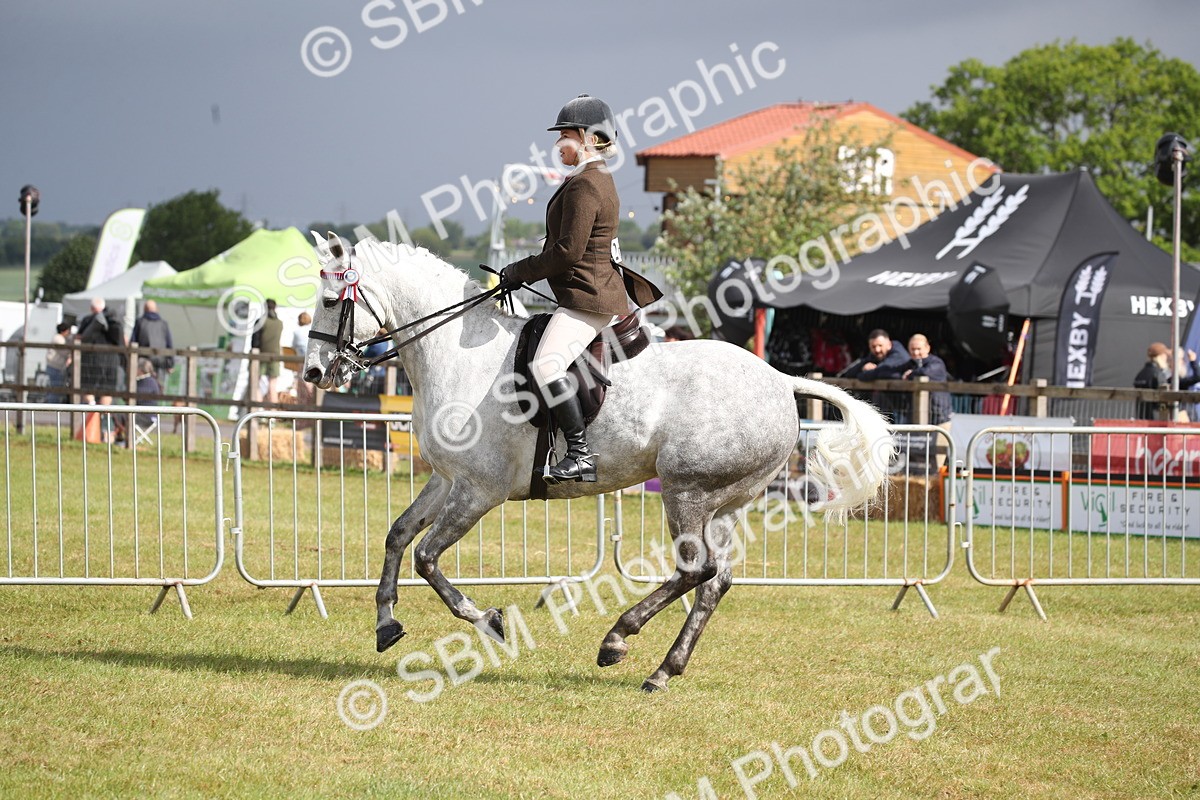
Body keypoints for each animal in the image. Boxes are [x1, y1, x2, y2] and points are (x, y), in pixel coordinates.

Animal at [303, 234, 892, 692]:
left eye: (332, 299)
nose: (313, 372)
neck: (458, 353)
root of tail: (780, 381)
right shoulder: (448, 479)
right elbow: (398, 536)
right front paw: (385, 624)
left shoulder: (479, 490)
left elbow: (427, 557)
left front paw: (489, 621)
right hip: (724, 502)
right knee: (715, 581)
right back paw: (663, 670)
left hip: (686, 491)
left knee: (694, 570)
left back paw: (617, 640)